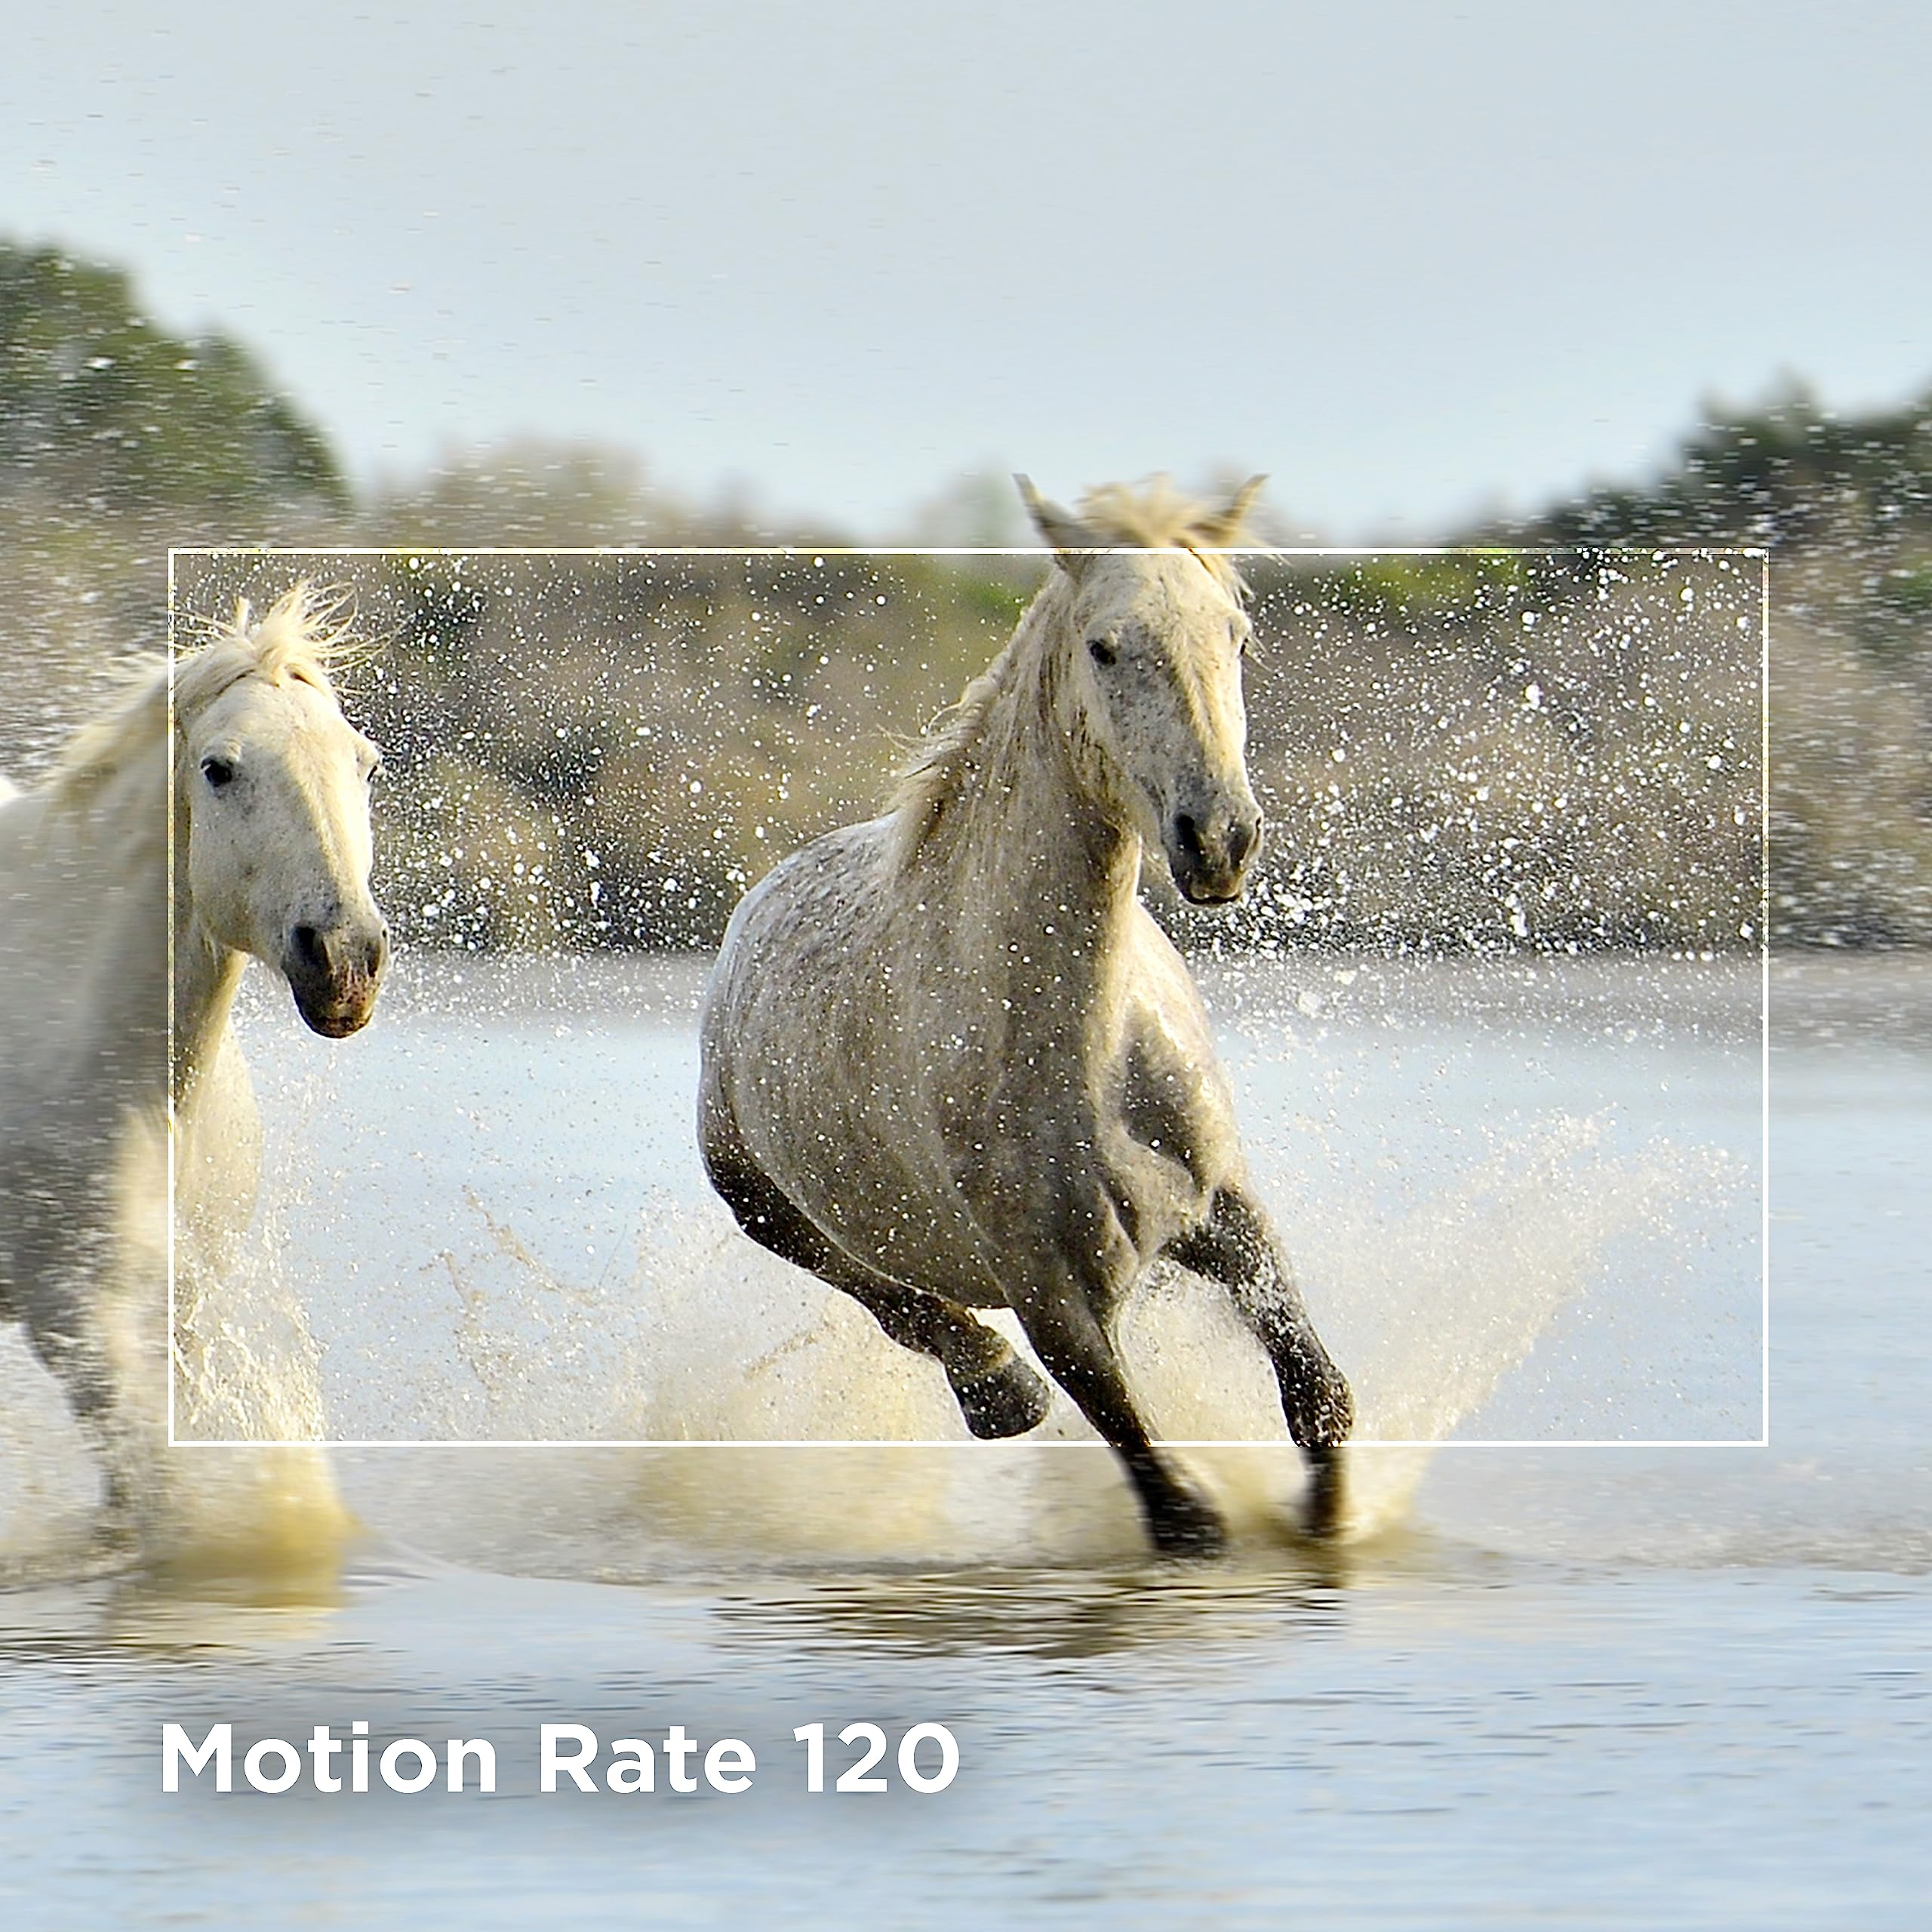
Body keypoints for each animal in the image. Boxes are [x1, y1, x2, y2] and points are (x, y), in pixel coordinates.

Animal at [700, 477, 1354, 1556]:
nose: (1218, 840)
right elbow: (1175, 1507)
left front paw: (1328, 1521)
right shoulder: (1055, 1301)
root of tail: (758, 902)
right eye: (1104, 647)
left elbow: (1318, 1395)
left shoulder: (1228, 1215)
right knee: (891, 1300)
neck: (1082, 1048)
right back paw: (996, 1392)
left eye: (1237, 635)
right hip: (755, 1194)